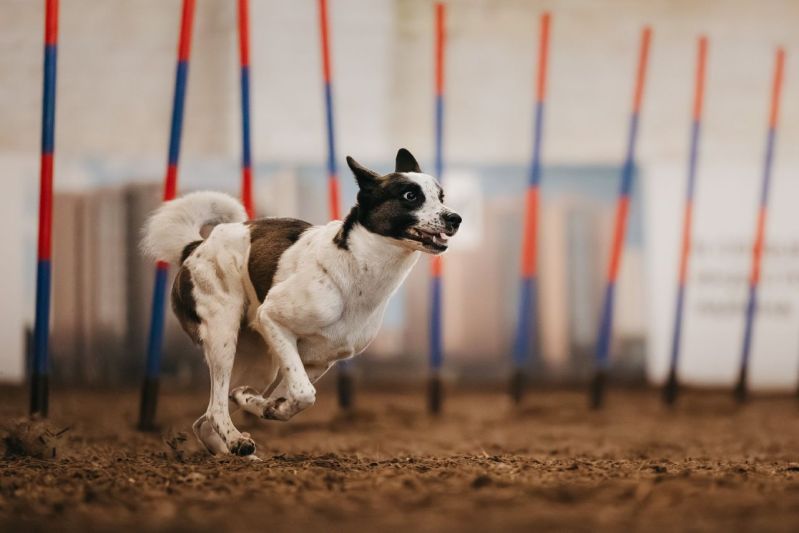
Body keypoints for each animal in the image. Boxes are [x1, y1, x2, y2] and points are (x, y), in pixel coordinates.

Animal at [142, 148, 461, 457]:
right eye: (410, 196)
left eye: (441, 196)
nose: (455, 218)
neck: (357, 265)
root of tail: (195, 247)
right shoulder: (272, 319)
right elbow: (305, 393)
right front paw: (260, 404)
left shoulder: (319, 360)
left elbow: (293, 394)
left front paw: (264, 405)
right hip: (223, 337)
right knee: (215, 407)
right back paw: (236, 440)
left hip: (259, 363)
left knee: (205, 418)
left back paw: (234, 447)